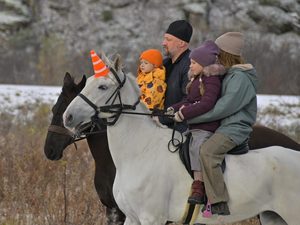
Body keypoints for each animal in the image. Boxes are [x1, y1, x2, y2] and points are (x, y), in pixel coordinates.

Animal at [63, 54, 300, 225]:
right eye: (88, 83)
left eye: (102, 87)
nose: (68, 117)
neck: (140, 152)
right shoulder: (131, 218)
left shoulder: (152, 218)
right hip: (272, 217)